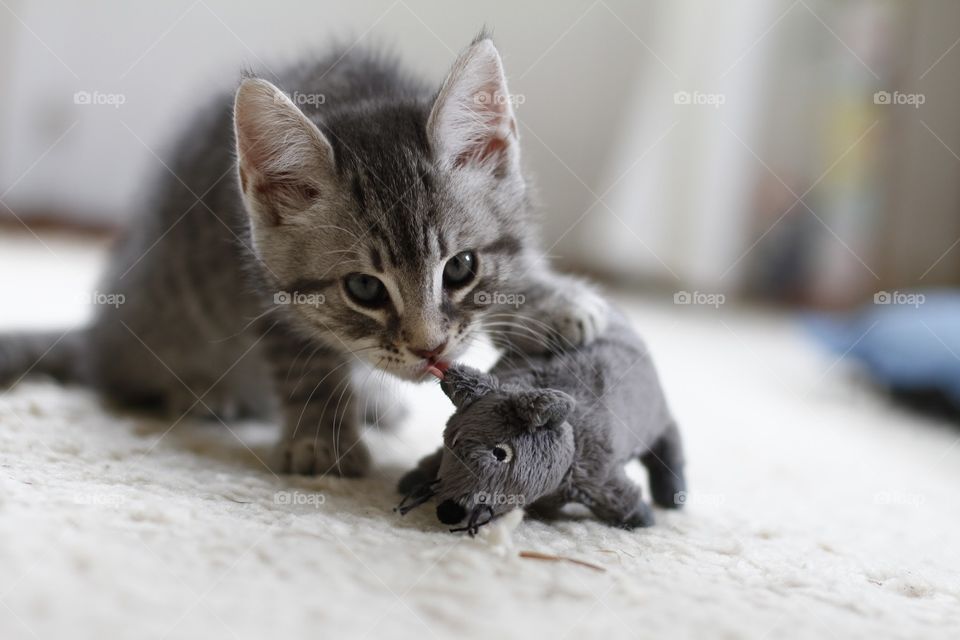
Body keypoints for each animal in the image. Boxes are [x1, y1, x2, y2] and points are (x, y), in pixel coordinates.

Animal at [0, 33, 608, 476]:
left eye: (460, 267)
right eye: (363, 288)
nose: (429, 347)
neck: (352, 89)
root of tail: (97, 332)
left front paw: (552, 300)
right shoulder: (260, 290)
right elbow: (307, 365)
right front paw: (323, 441)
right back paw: (201, 392)